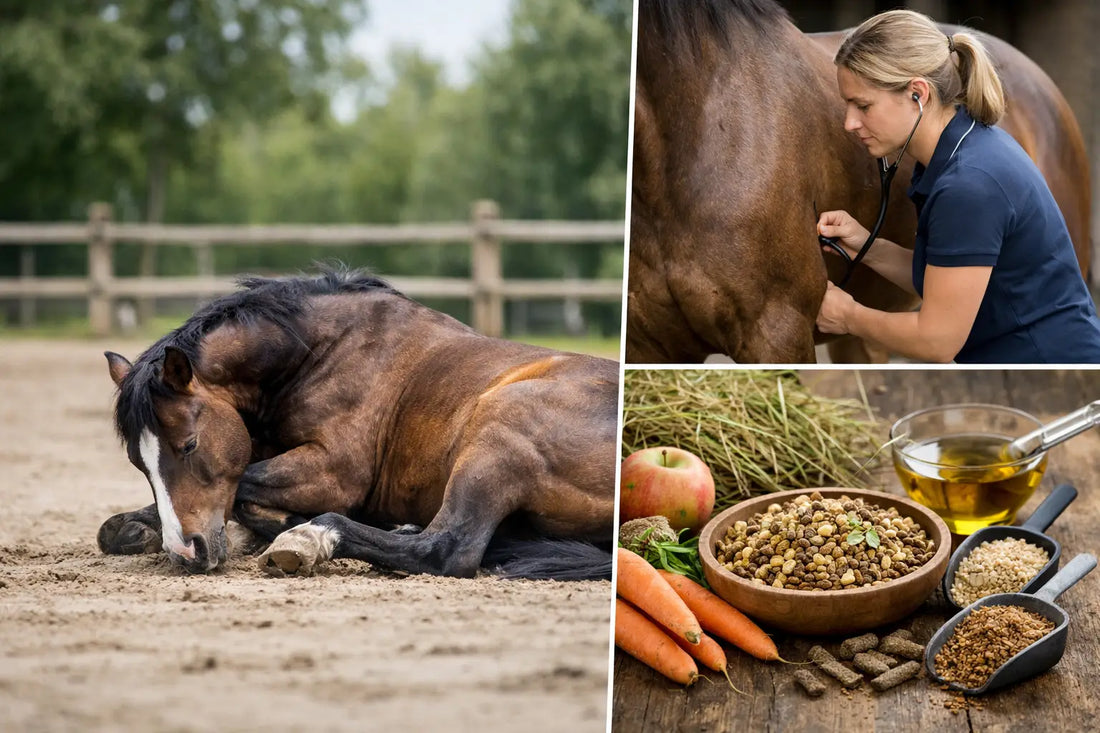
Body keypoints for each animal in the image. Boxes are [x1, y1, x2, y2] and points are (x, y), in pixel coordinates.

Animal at [96, 268, 617, 580]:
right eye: (139, 463)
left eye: (189, 444)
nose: (185, 553)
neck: (320, 352)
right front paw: (132, 527)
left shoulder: (333, 471)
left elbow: (242, 487)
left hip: (497, 431)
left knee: (448, 548)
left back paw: (311, 538)